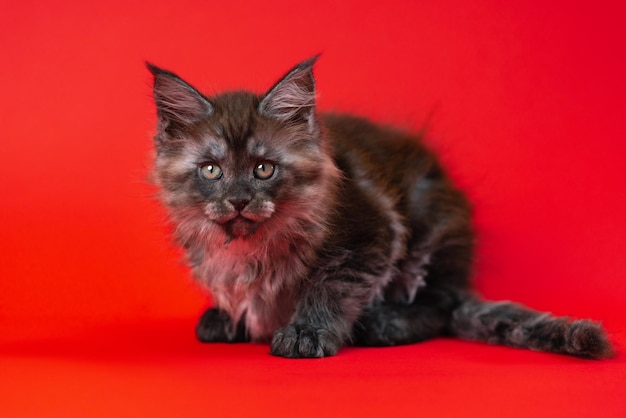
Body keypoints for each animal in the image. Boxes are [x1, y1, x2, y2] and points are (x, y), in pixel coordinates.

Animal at [145, 56, 608, 360]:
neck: (249, 246)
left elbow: (329, 287)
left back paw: (385, 323)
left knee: (439, 308)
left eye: (263, 169)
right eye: (211, 170)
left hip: (429, 231)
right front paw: (230, 317)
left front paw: (306, 332)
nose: (239, 200)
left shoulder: (371, 232)